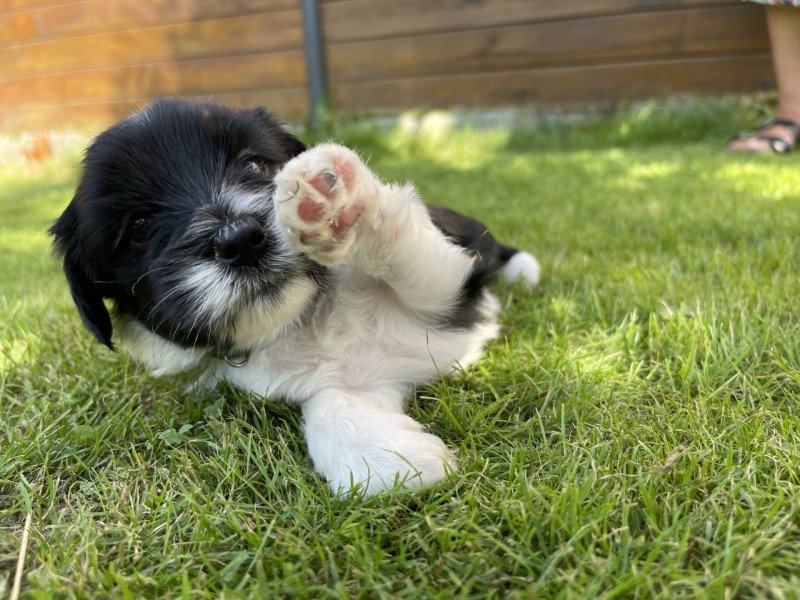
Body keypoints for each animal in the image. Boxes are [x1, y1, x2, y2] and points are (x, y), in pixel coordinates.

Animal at [48, 99, 536, 496]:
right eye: (139, 227)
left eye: (254, 166)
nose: (239, 239)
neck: (301, 322)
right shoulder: (357, 381)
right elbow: (331, 410)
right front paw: (397, 459)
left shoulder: (449, 285)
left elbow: (407, 253)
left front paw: (338, 209)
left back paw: (526, 270)